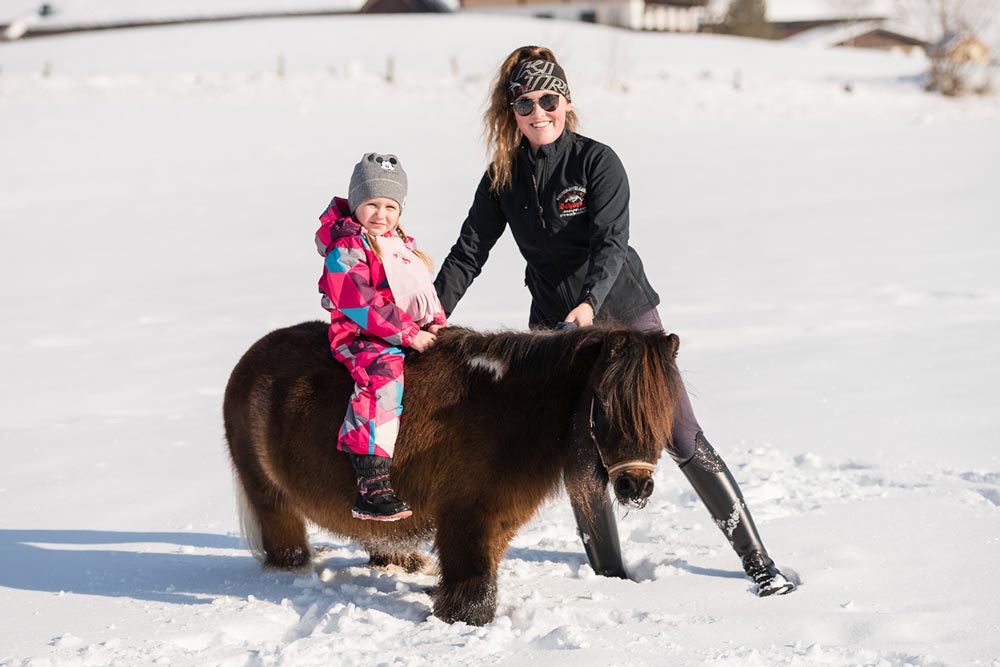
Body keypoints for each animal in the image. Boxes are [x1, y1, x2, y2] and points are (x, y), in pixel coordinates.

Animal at [225, 322, 680, 628]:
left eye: (665, 407)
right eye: (605, 402)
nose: (636, 484)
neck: (509, 410)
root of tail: (248, 361)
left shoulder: (500, 518)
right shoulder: (468, 515)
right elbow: (474, 581)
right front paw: (463, 621)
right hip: (271, 500)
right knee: (285, 541)